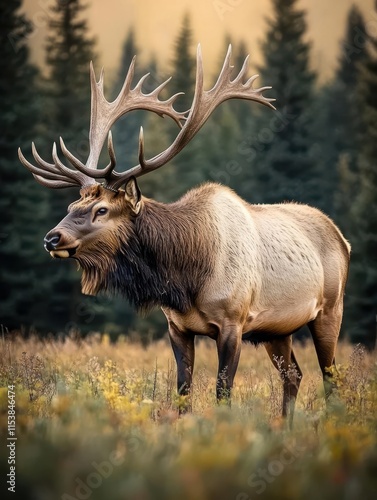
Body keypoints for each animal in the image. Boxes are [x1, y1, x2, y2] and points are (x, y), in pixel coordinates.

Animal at [19, 45, 350, 420]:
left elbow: (223, 390)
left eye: (101, 209)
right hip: (278, 329)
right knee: (293, 374)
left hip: (330, 310)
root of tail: (342, 238)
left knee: (331, 376)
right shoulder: (177, 326)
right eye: (72, 206)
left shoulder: (233, 322)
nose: (51, 238)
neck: (185, 278)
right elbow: (182, 391)